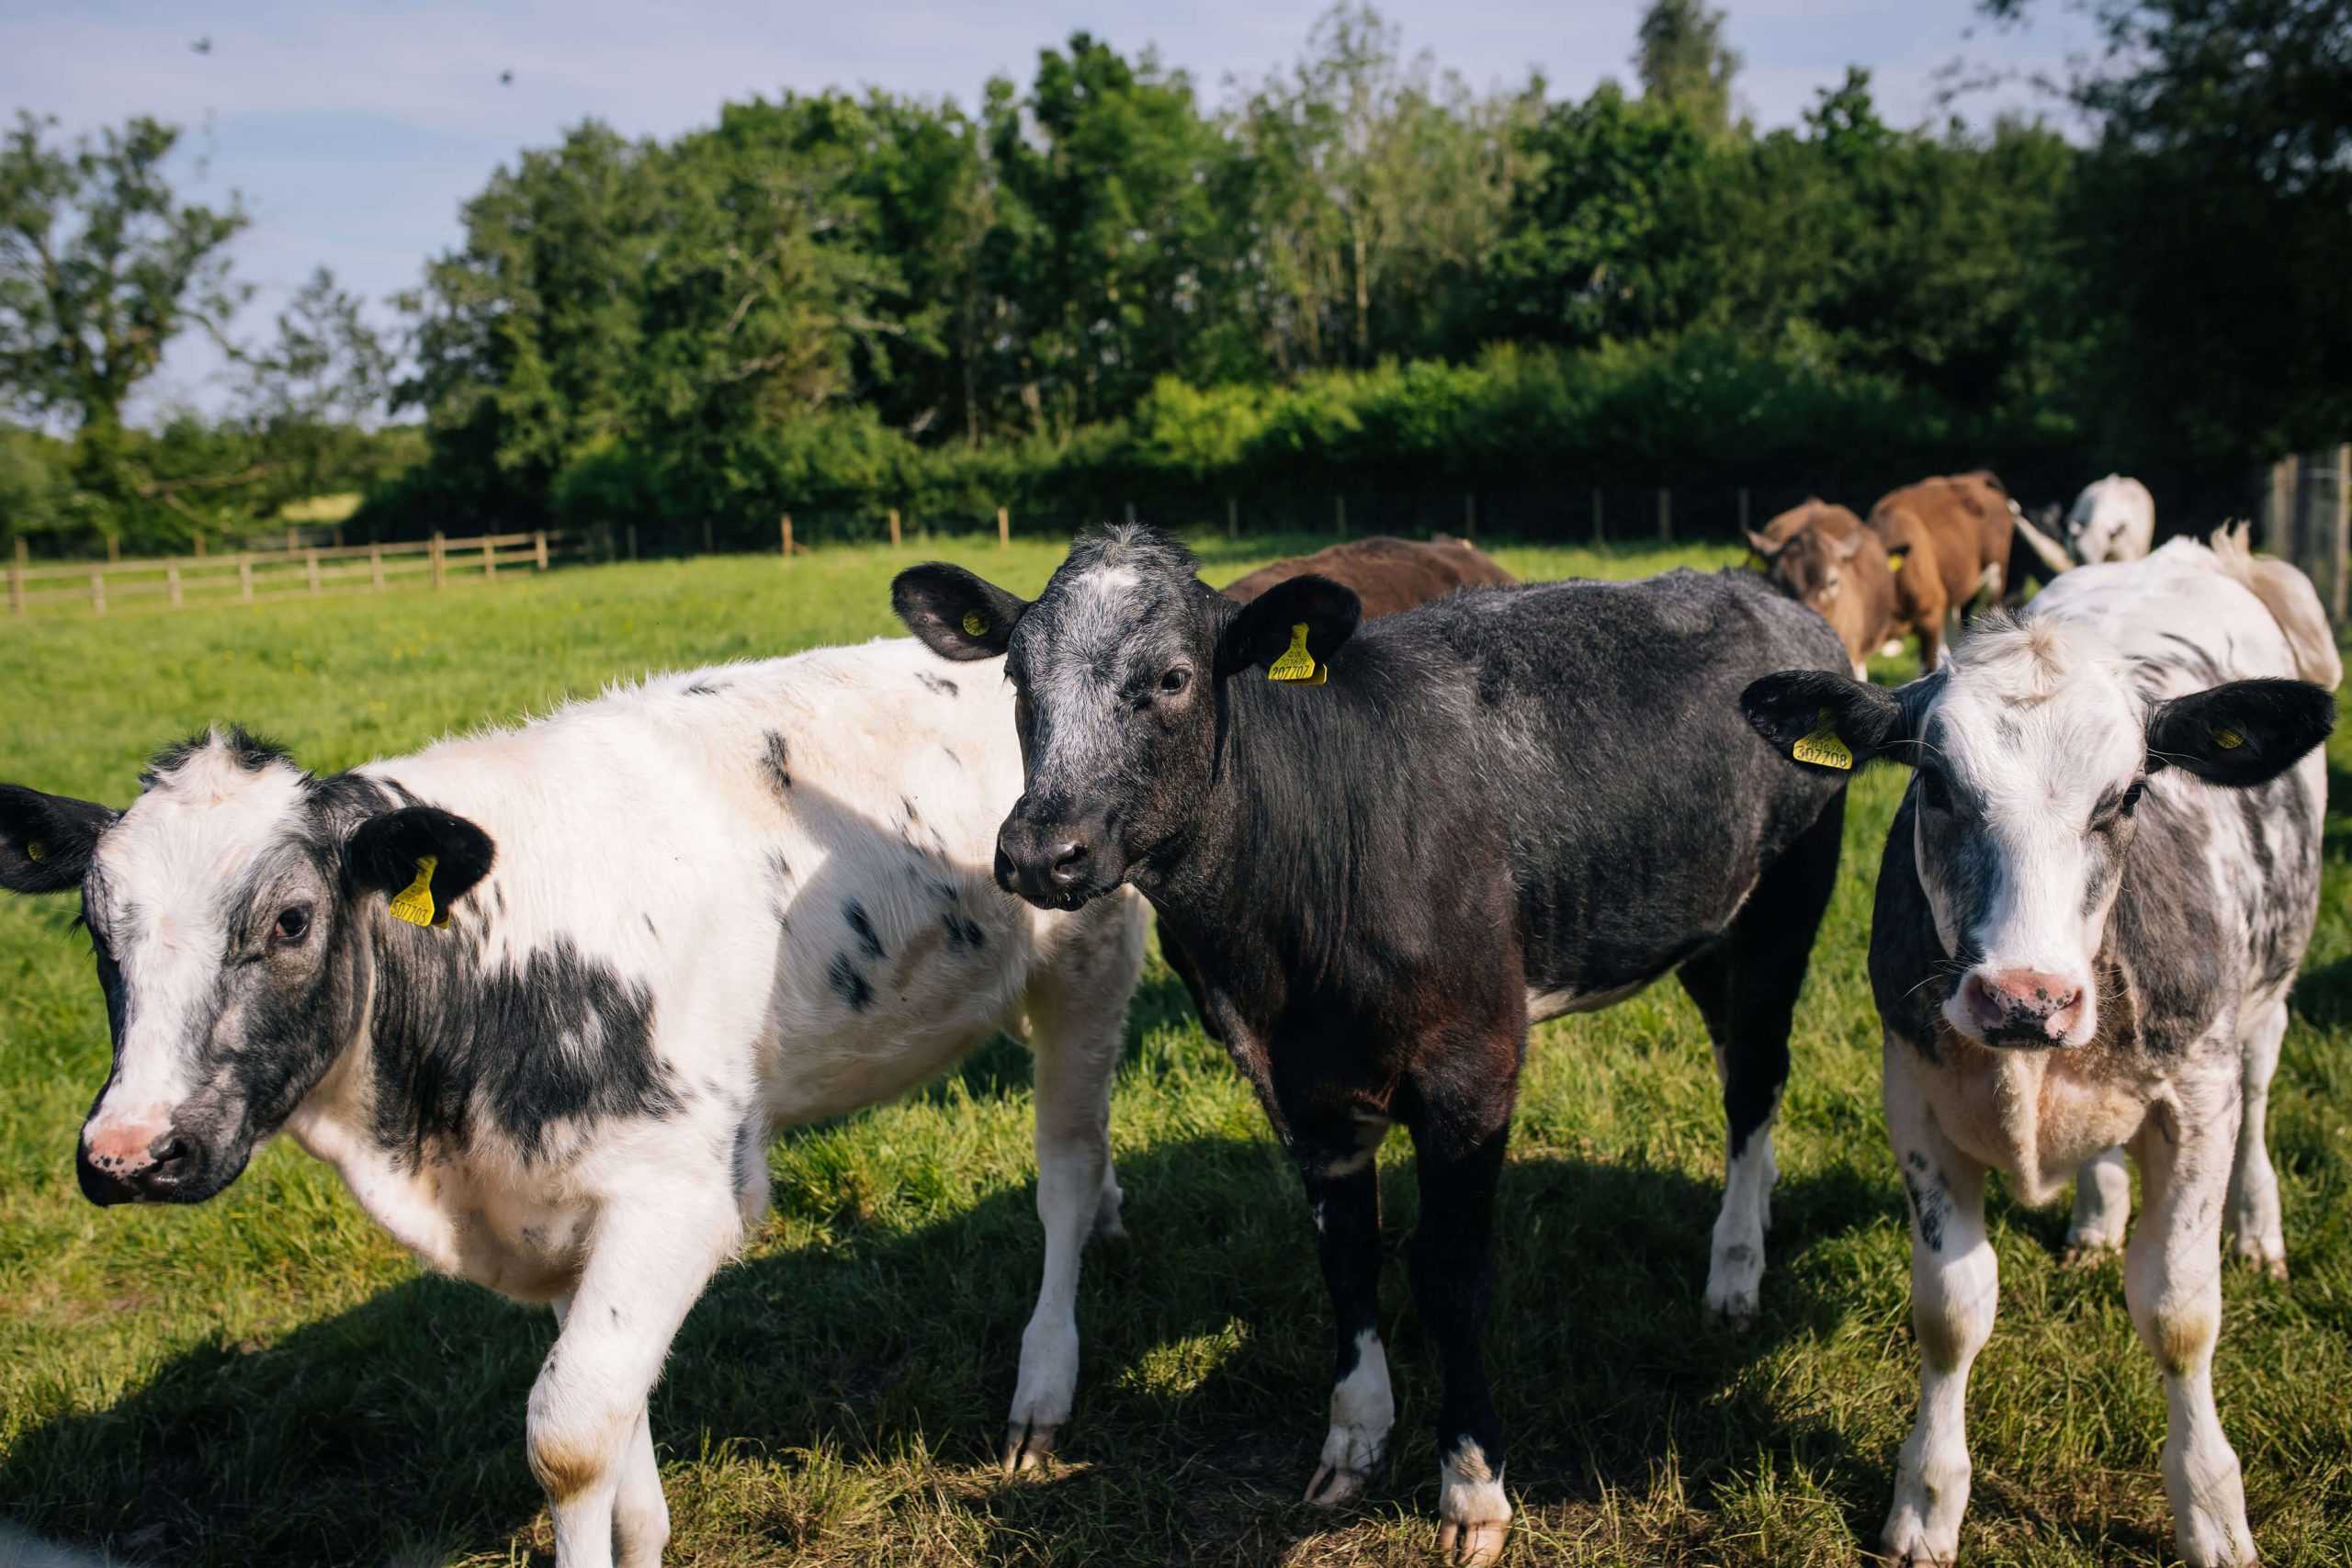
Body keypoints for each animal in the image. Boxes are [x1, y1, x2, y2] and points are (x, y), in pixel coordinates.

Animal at [0, 640, 1149, 1568]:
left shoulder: (682, 1195)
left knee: (1063, 1171)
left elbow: (568, 1433)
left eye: (289, 920)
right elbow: (615, 1431)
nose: (129, 1152)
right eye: (96, 929)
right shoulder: (553, 1201)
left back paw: (1043, 1382)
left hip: (1085, 966)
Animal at [1741, 526, 2339, 1567]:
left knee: (2264, 1100)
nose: (2026, 996)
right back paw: (2096, 1222)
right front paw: (1927, 1497)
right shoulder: (1915, 1094)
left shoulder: (2198, 1096)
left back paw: (2258, 1228)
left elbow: (2180, 1311)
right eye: (1935, 784)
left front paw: (2210, 1504)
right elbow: (1950, 1310)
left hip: (2267, 1003)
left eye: (2127, 794)